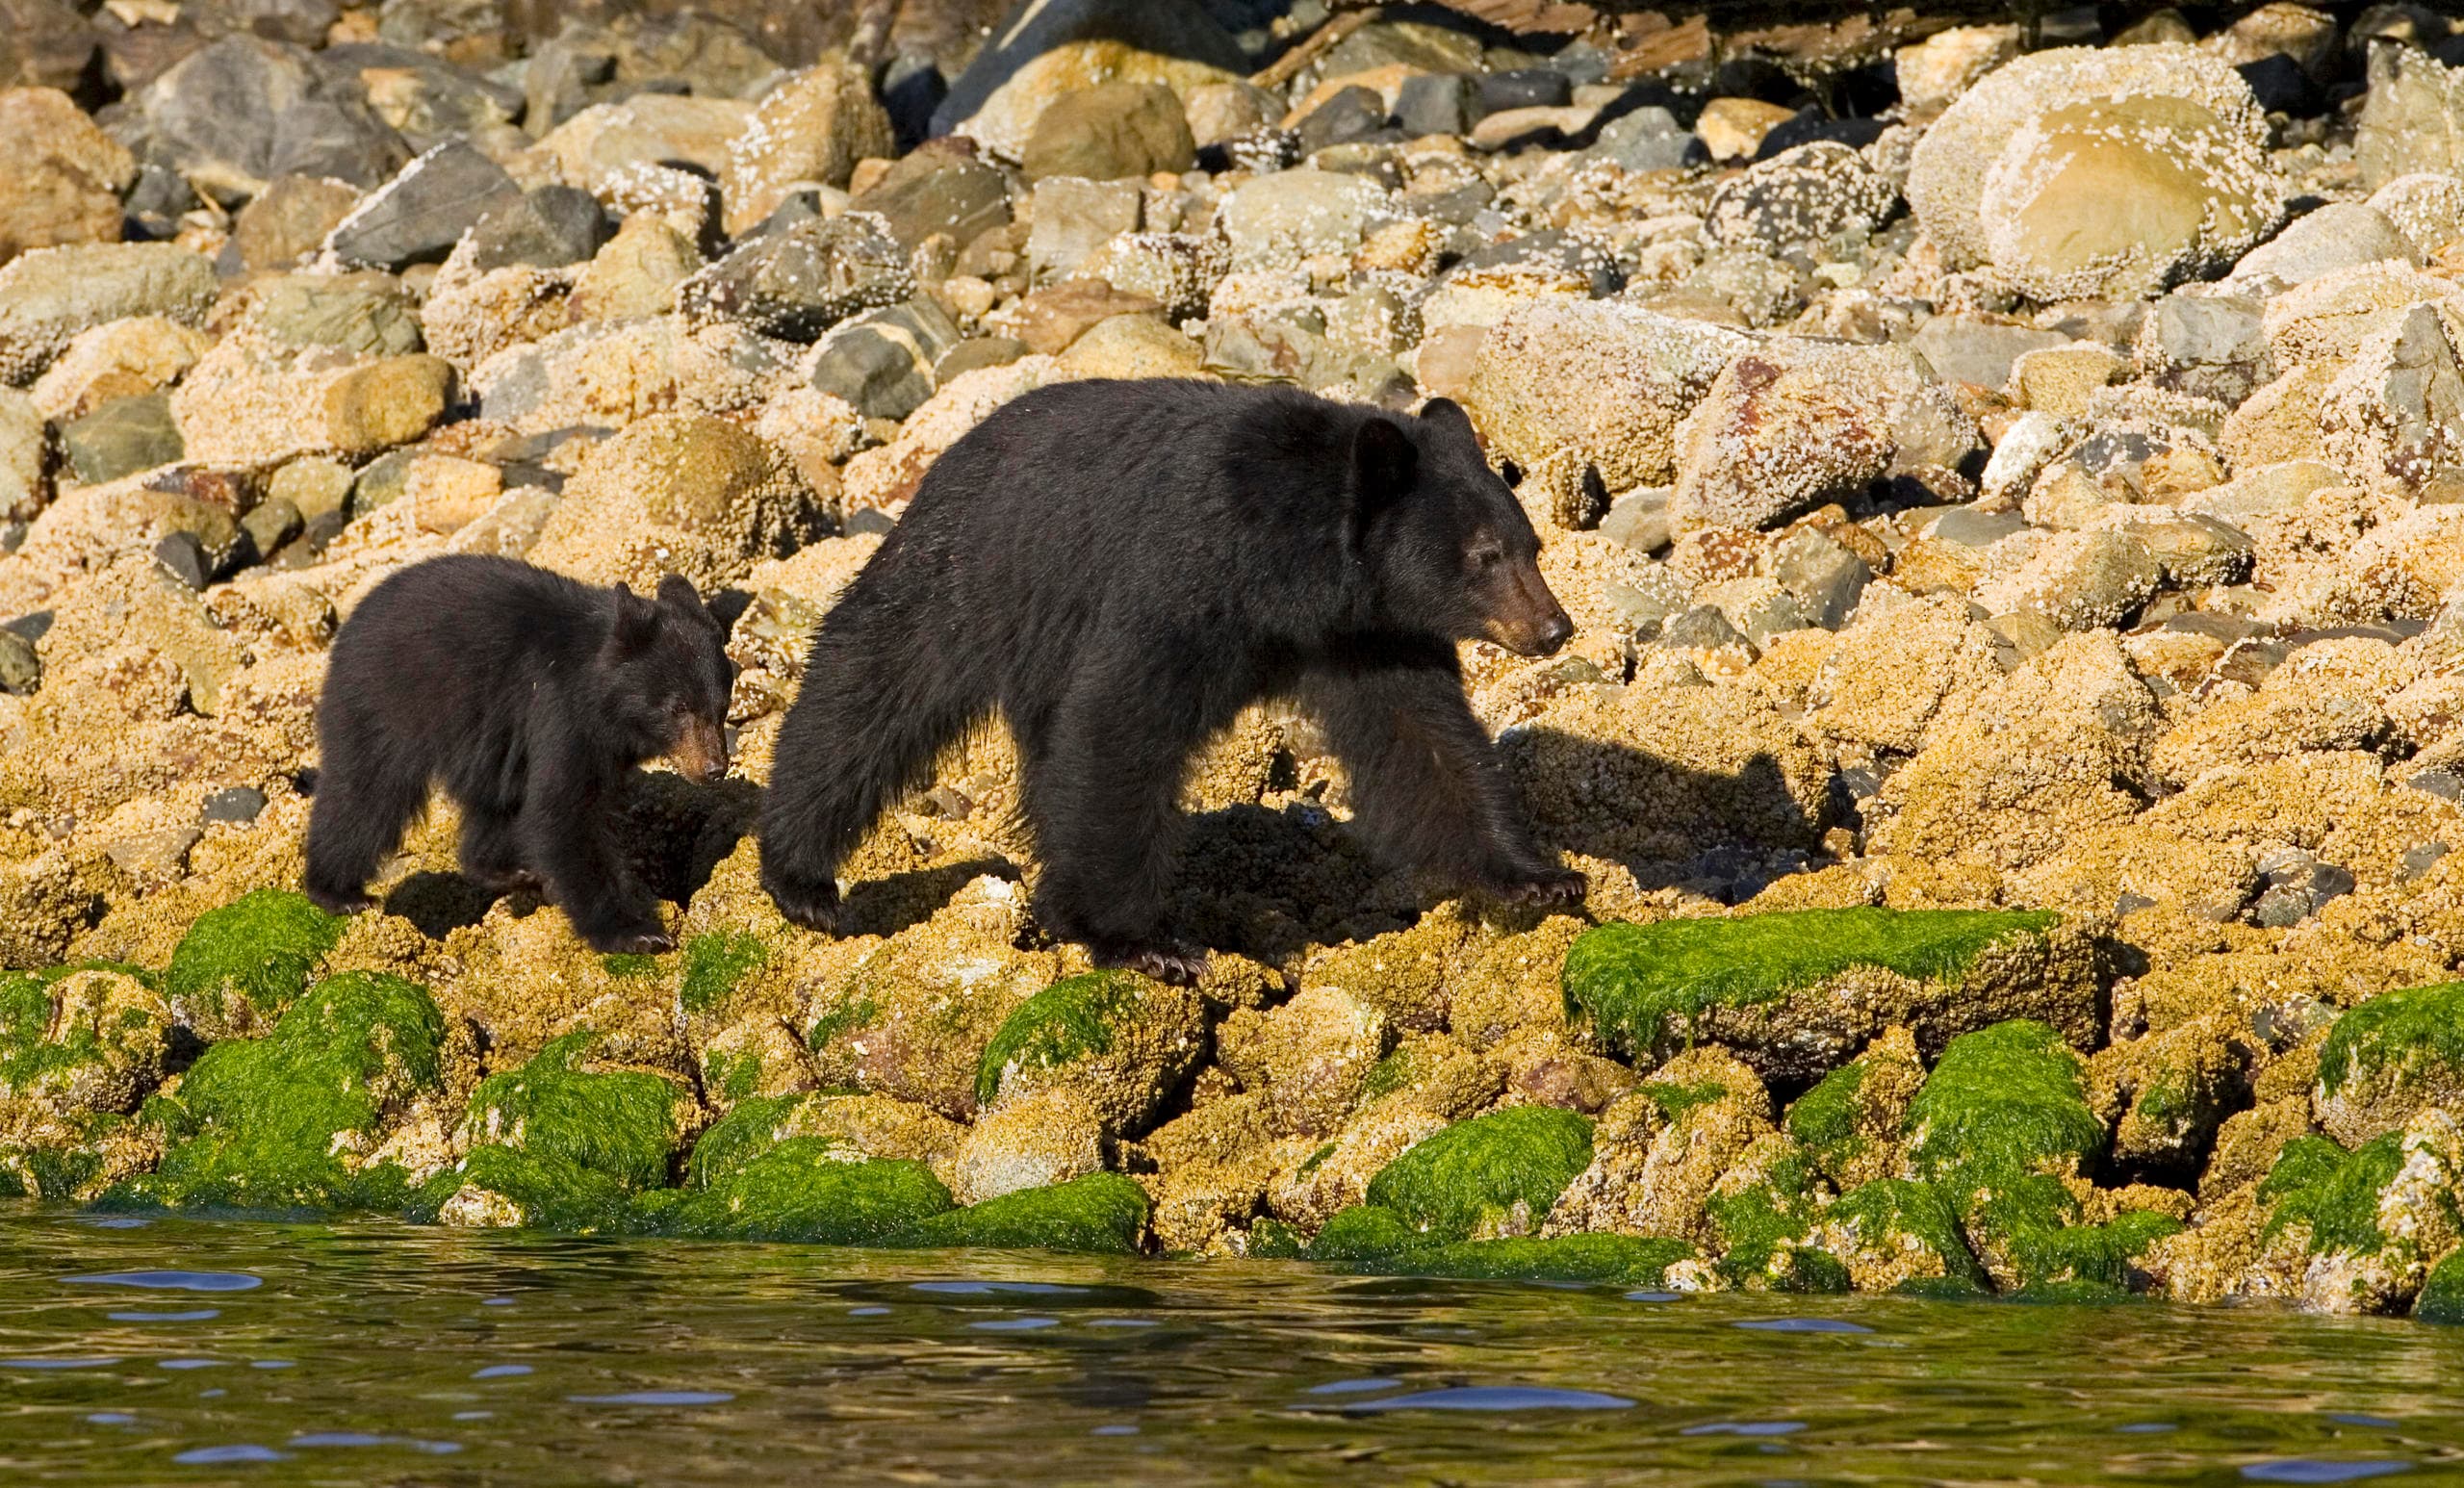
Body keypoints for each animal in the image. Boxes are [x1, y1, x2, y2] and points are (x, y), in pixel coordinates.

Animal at [303, 554, 734, 954]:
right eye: (678, 707)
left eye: (722, 707)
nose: (714, 768)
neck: (602, 697)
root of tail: (352, 622)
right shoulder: (561, 712)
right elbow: (564, 812)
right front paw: (635, 932)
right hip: (384, 702)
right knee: (365, 795)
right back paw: (338, 892)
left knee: (495, 802)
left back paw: (505, 870)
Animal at [758, 378, 1583, 983]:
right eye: (1484, 556)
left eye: (1531, 544)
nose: (1555, 629)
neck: (1290, 569)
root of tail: (949, 452)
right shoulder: (1181, 583)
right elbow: (1117, 729)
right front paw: (1142, 939)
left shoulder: (1368, 636)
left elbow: (1427, 743)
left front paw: (1537, 875)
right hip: (970, 573)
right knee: (869, 690)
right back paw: (801, 876)